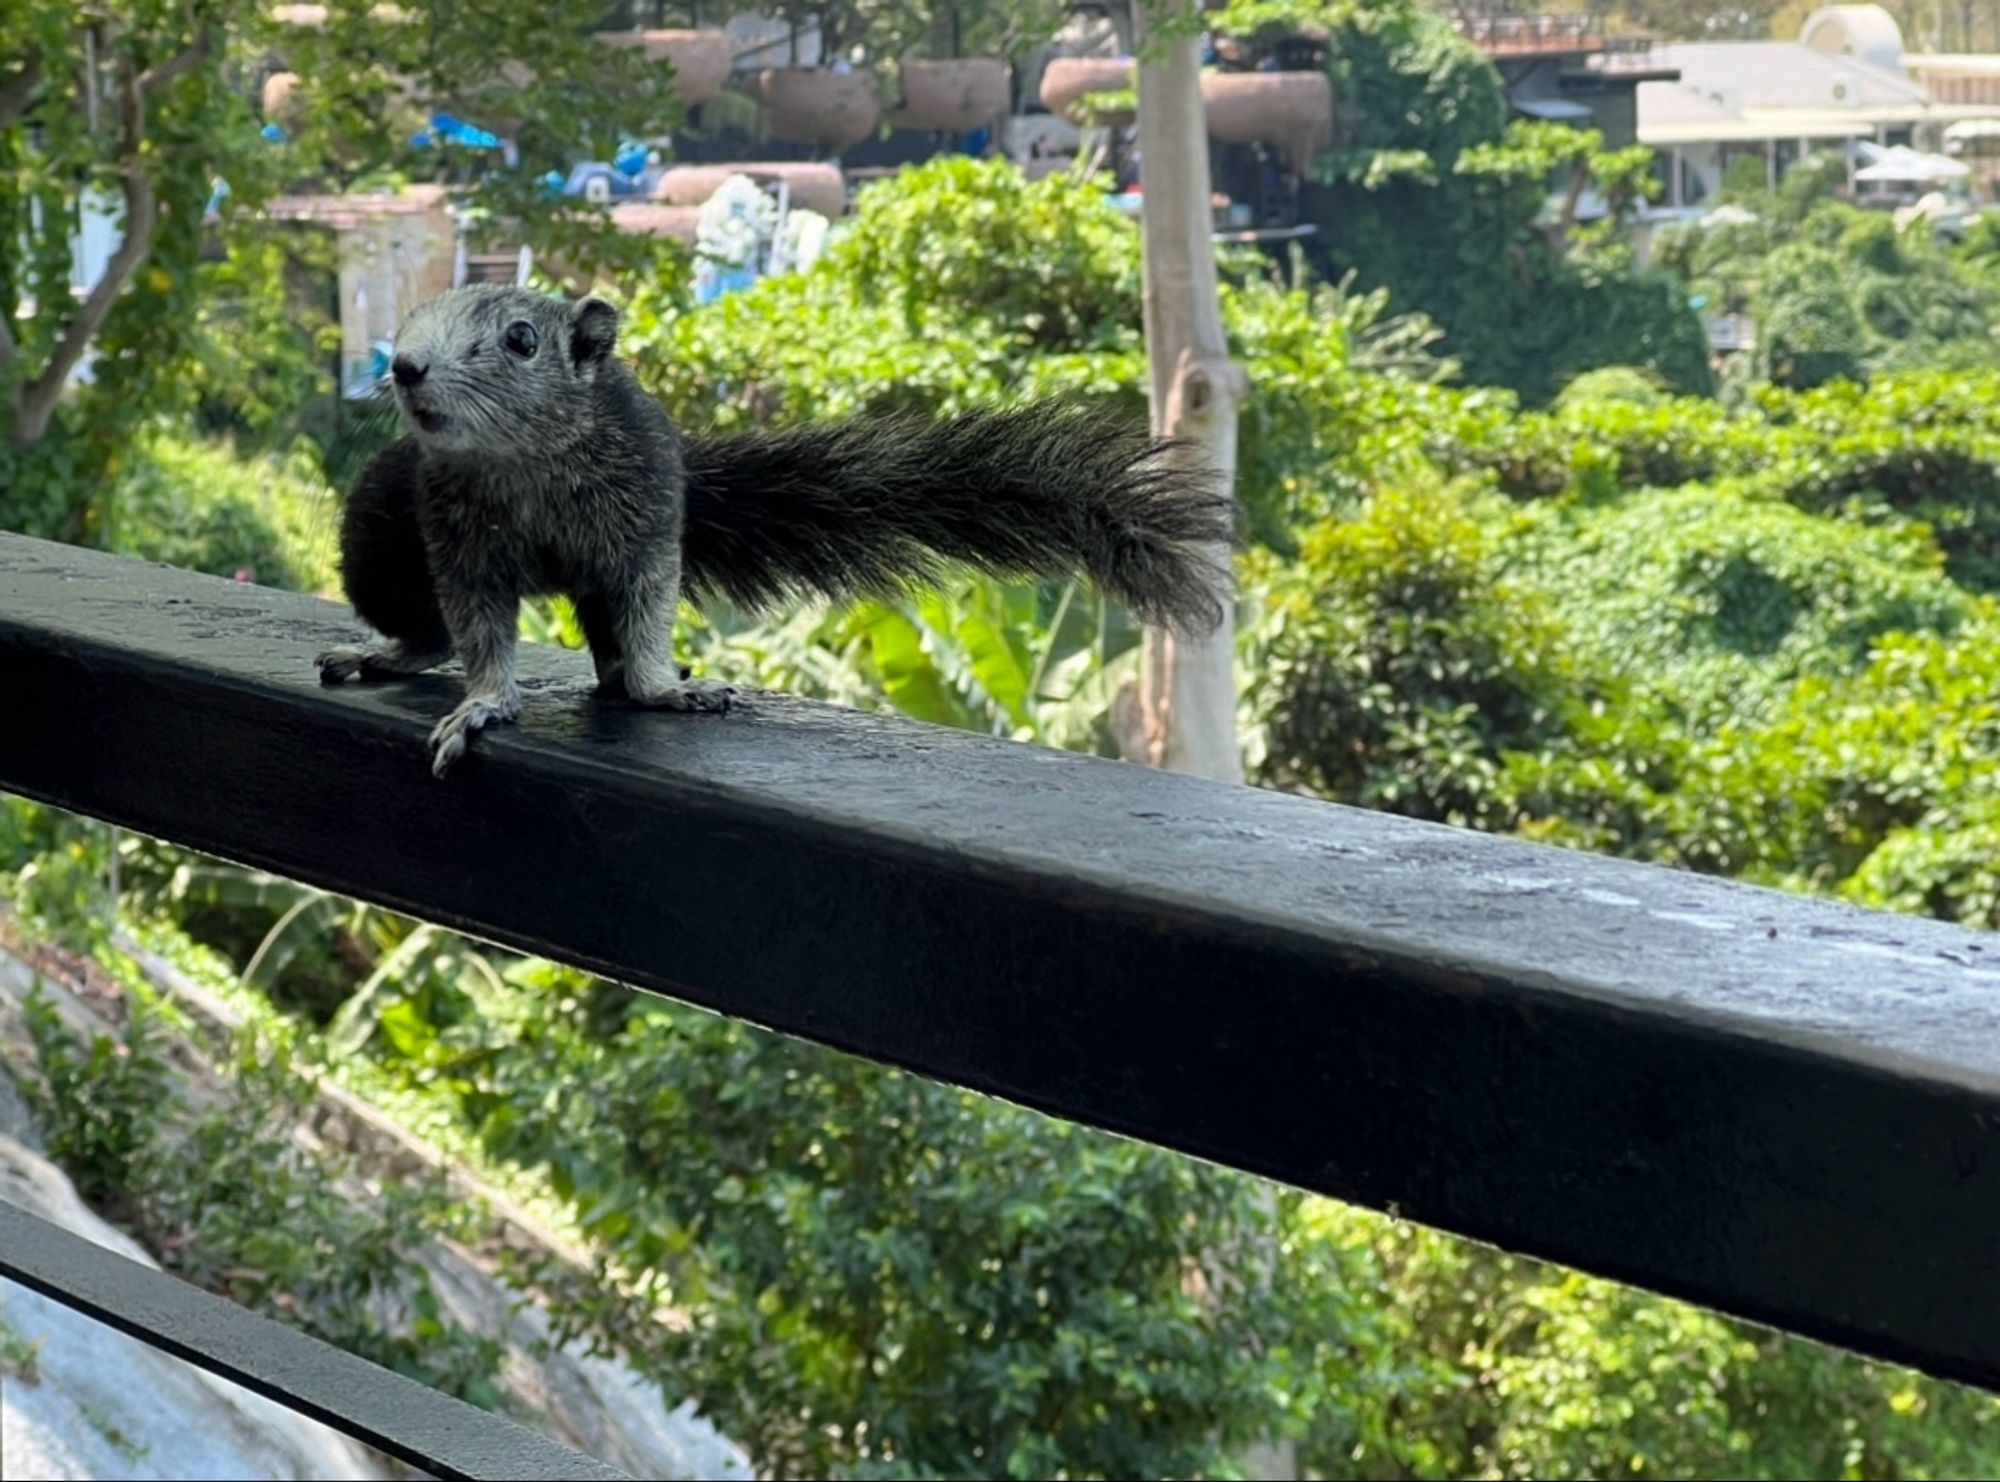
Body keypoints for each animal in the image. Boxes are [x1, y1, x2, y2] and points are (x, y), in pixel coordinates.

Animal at [320, 284, 1232, 780]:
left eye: (520, 339)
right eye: (411, 319)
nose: (404, 367)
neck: (525, 459)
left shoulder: (647, 513)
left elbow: (647, 610)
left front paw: (662, 688)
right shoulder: (456, 533)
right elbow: (480, 628)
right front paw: (484, 704)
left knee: (604, 632)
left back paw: (621, 676)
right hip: (379, 542)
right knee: (431, 628)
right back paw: (390, 652)